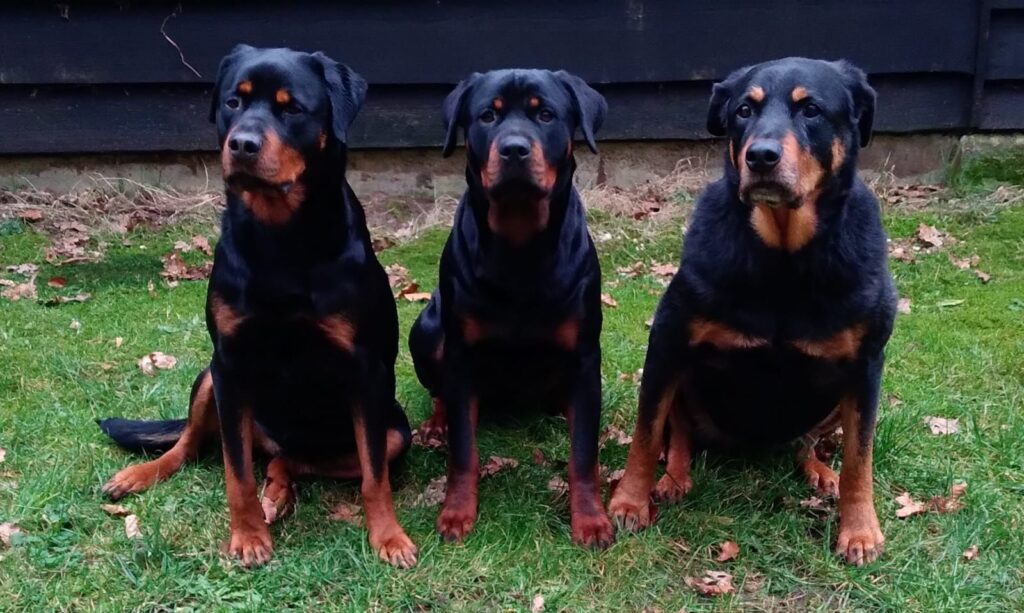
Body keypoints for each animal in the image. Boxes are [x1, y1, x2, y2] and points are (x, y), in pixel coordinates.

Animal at [97, 45, 418, 568]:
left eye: (292, 109)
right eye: (234, 101)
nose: (242, 144)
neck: (280, 238)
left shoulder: (367, 372)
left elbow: (374, 476)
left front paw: (389, 538)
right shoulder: (230, 365)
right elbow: (236, 471)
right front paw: (247, 536)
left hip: (393, 432)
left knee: (295, 459)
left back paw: (279, 490)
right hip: (209, 379)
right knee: (193, 444)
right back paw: (143, 474)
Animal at [408, 69, 614, 548]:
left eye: (545, 114)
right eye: (487, 115)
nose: (515, 148)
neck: (520, 246)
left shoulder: (584, 356)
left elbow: (582, 453)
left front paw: (590, 518)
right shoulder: (461, 353)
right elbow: (464, 450)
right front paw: (456, 511)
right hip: (426, 329)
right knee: (441, 392)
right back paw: (436, 422)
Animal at [607, 57, 895, 565]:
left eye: (811, 110)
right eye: (744, 109)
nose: (760, 156)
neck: (783, 258)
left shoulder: (866, 365)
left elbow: (860, 457)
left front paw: (860, 530)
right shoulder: (667, 342)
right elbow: (646, 434)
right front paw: (629, 502)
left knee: (810, 443)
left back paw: (819, 471)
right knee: (680, 434)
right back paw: (675, 478)